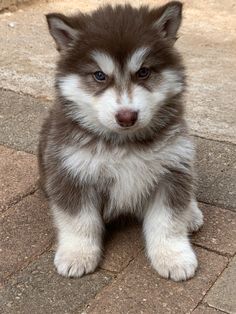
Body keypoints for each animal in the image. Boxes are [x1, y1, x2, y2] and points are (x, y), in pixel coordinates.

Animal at [38, 1, 203, 280]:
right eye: (99, 75)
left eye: (144, 72)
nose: (127, 116)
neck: (123, 144)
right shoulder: (70, 171)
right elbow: (79, 221)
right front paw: (77, 254)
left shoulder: (171, 169)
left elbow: (168, 222)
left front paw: (174, 257)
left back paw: (191, 213)